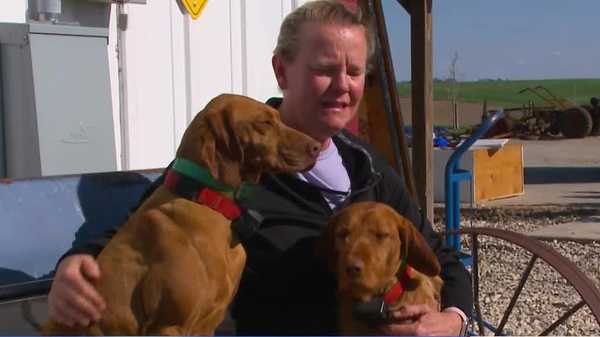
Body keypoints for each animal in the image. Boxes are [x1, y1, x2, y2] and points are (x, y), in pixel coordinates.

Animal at [42, 93, 322, 334]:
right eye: (264, 123)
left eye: (279, 119)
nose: (317, 147)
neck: (209, 203)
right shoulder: (168, 326)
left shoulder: (209, 324)